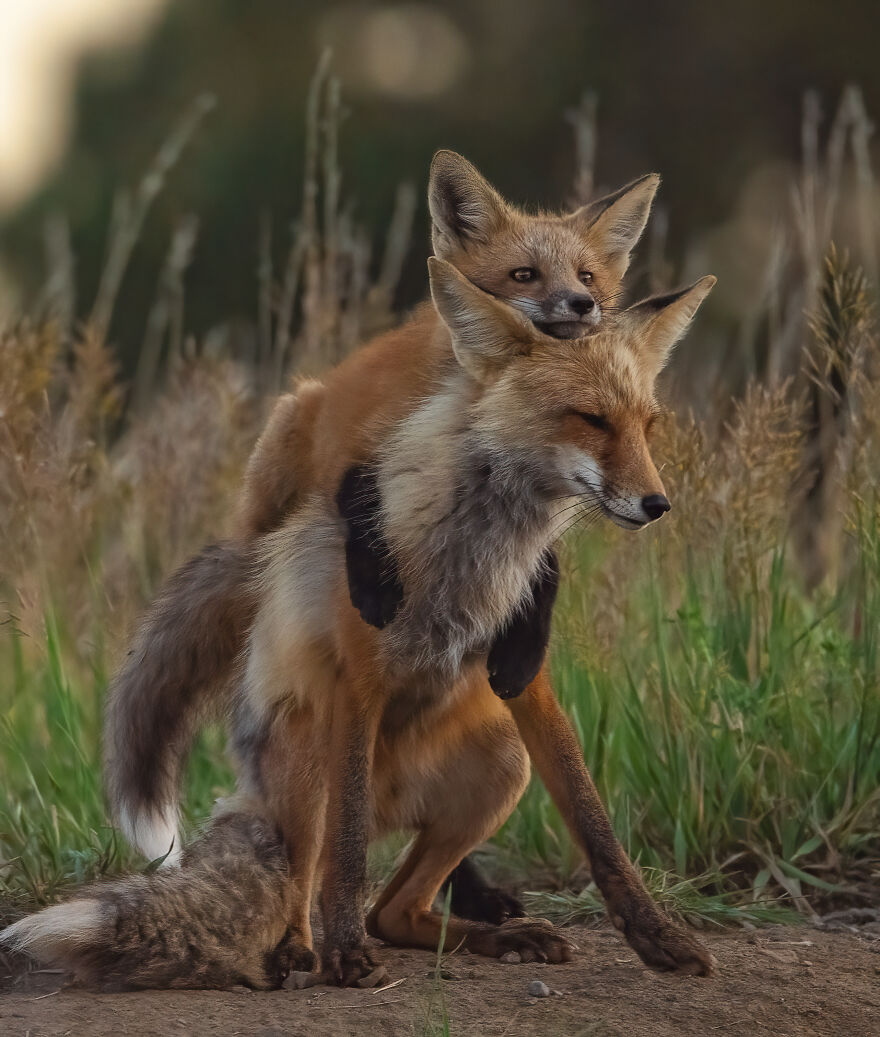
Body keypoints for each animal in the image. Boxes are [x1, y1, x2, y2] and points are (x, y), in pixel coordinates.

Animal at [3, 256, 717, 989]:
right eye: (590, 419)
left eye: (646, 425)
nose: (658, 504)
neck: (471, 555)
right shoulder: (358, 678)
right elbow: (343, 856)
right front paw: (344, 956)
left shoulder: (523, 676)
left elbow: (595, 825)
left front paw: (659, 938)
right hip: (314, 761)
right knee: (313, 876)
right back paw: (302, 949)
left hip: (502, 765)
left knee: (394, 910)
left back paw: (499, 936)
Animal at [102, 150, 661, 920]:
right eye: (524, 275)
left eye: (587, 277)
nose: (582, 308)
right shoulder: (372, 450)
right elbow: (361, 506)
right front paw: (376, 591)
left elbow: (539, 568)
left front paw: (522, 640)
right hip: (287, 437)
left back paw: (467, 891)